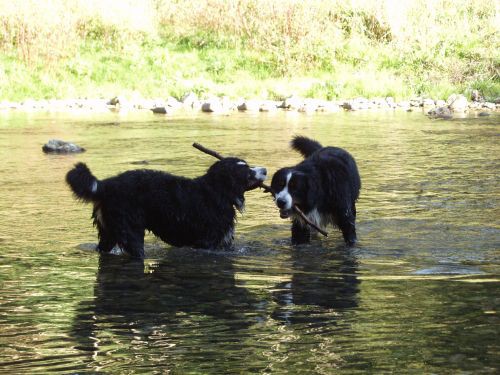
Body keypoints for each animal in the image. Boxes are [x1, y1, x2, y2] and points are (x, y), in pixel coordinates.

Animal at [69, 158, 270, 258]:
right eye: (246, 171)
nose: (266, 170)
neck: (217, 192)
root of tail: (106, 185)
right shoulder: (208, 242)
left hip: (108, 234)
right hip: (131, 233)